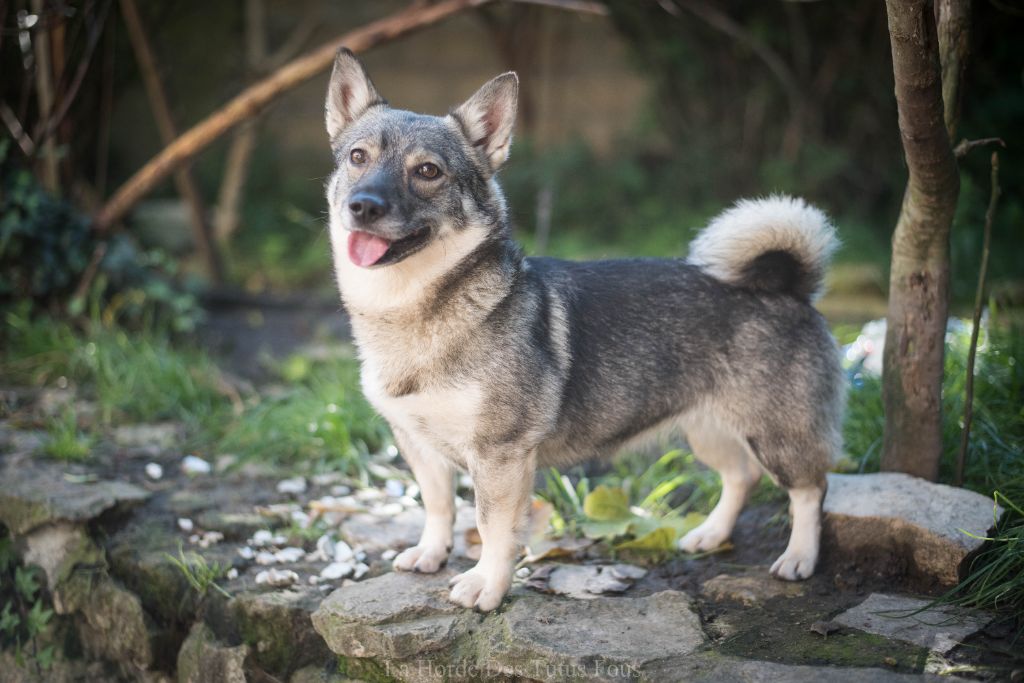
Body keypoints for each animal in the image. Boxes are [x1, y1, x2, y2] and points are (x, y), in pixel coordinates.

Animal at [323, 50, 843, 610]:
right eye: (357, 157)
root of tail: (788, 286)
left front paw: (487, 584)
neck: (414, 308)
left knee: (810, 489)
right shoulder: (417, 444)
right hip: (708, 428)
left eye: (427, 171)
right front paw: (431, 552)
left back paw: (799, 557)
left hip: (777, 435)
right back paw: (710, 534)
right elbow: (438, 506)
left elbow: (492, 526)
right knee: (741, 476)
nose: (363, 205)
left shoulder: (501, 455)